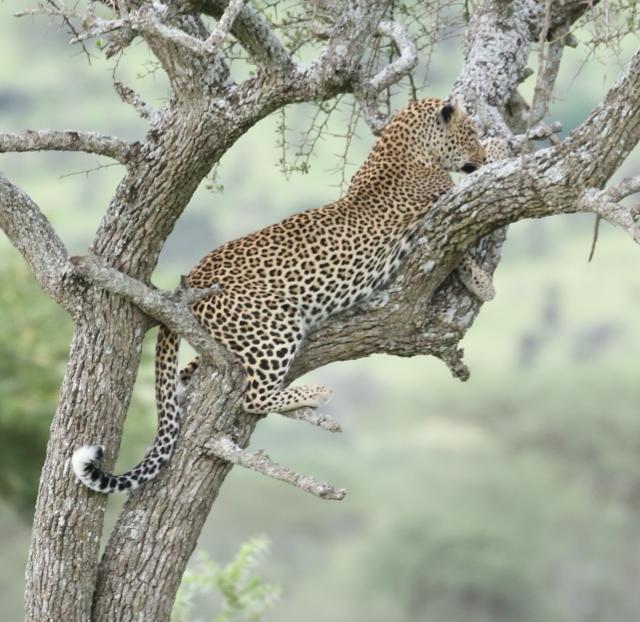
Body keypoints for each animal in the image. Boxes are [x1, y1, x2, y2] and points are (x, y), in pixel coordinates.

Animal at [72, 97, 500, 493]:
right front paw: (483, 280)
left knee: (188, 375)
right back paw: (317, 391)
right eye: (470, 133)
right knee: (253, 396)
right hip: (275, 324)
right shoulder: (440, 208)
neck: (403, 146)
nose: (478, 153)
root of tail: (193, 274)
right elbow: (461, 247)